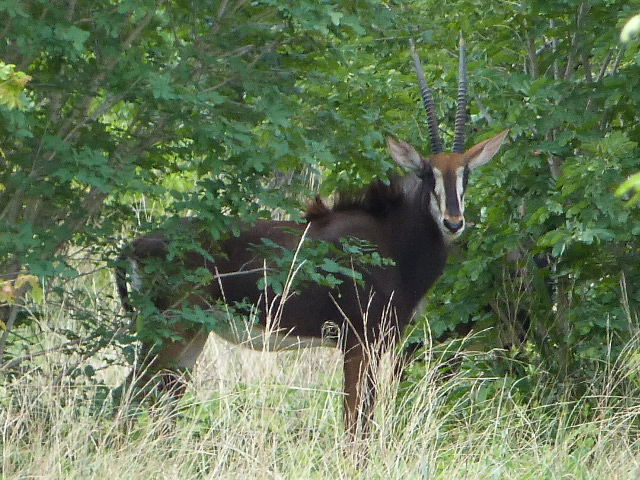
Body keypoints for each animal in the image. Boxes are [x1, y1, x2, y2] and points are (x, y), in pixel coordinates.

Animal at [116, 39, 510, 438]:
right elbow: (354, 424)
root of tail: (137, 245)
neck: (393, 239)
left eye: (466, 175)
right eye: (429, 175)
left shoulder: (378, 344)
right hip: (171, 330)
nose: (453, 222)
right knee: (130, 396)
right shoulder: (357, 343)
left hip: (193, 334)